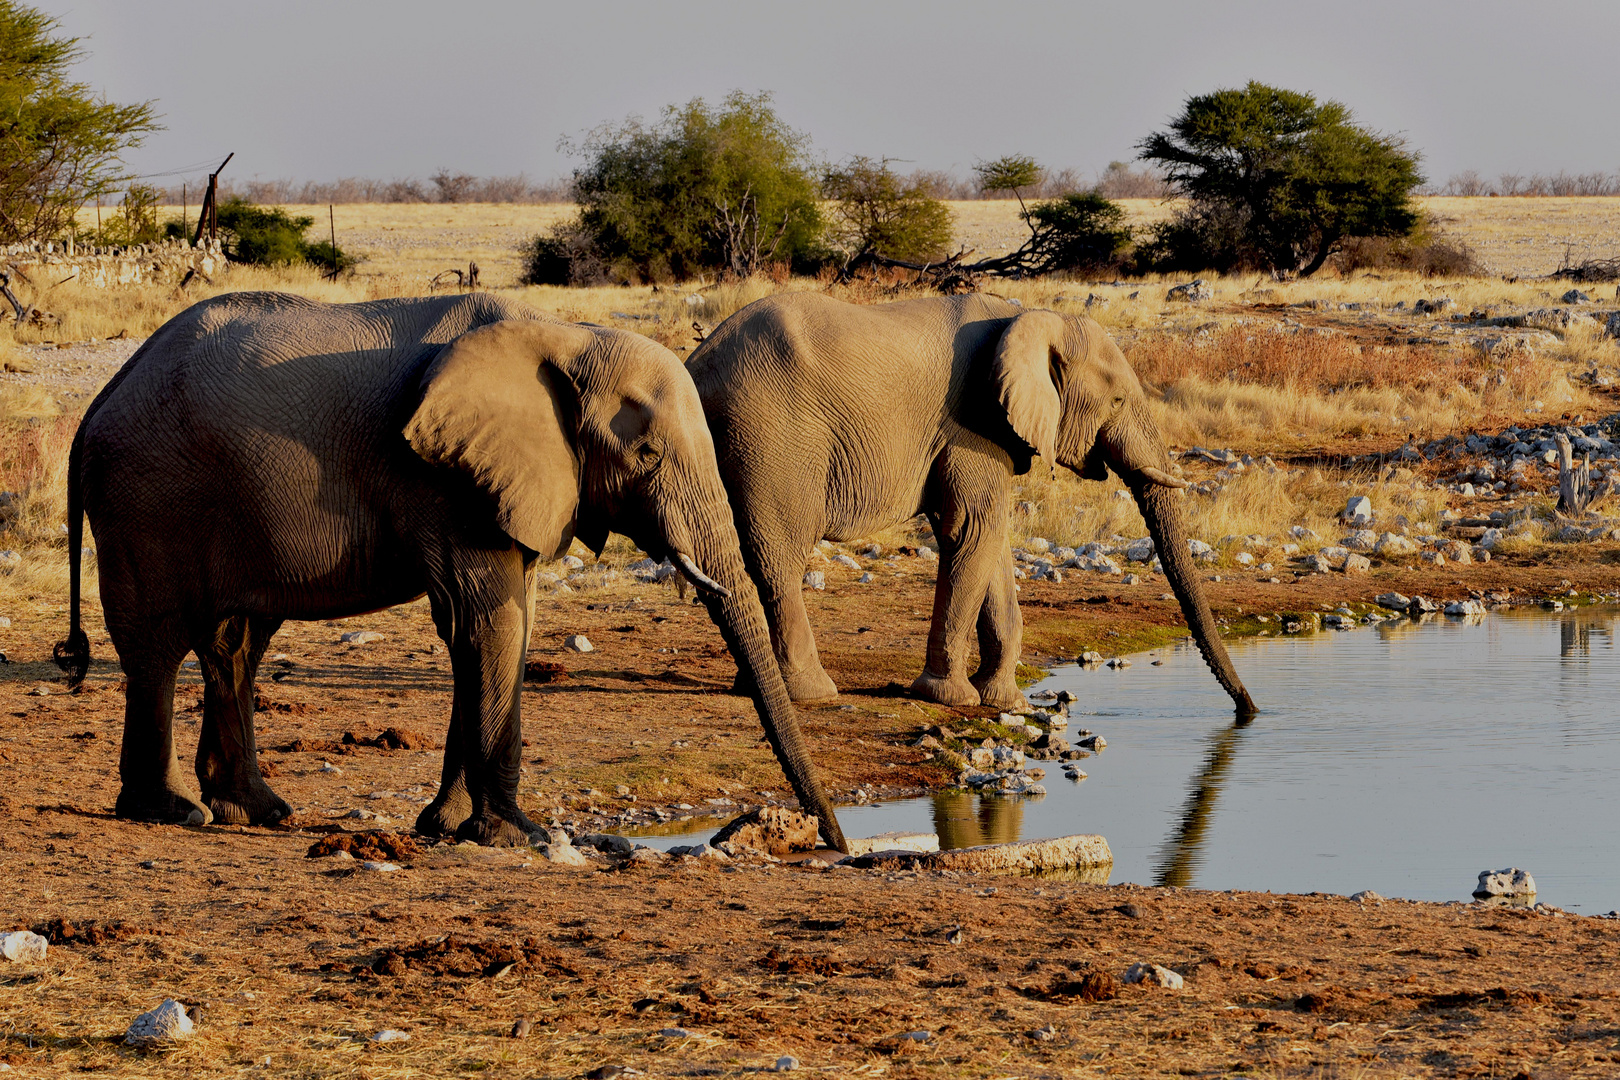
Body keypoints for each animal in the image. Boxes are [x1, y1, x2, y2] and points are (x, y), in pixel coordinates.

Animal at [53, 291, 848, 848]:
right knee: (158, 645)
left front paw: (446, 826)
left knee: (234, 646)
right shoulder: (442, 480)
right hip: (147, 498)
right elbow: (485, 619)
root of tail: (100, 400)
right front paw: (514, 836)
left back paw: (258, 811)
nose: (831, 842)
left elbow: (503, 626)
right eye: (646, 454)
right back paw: (172, 812)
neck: (566, 336)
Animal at [683, 291, 1250, 722]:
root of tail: (695, 366)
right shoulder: (972, 424)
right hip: (774, 441)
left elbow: (988, 540)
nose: (1248, 710)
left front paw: (1005, 700)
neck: (1028, 318)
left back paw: (755, 685)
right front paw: (951, 698)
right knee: (779, 556)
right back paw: (811, 692)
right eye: (1115, 402)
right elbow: (971, 530)